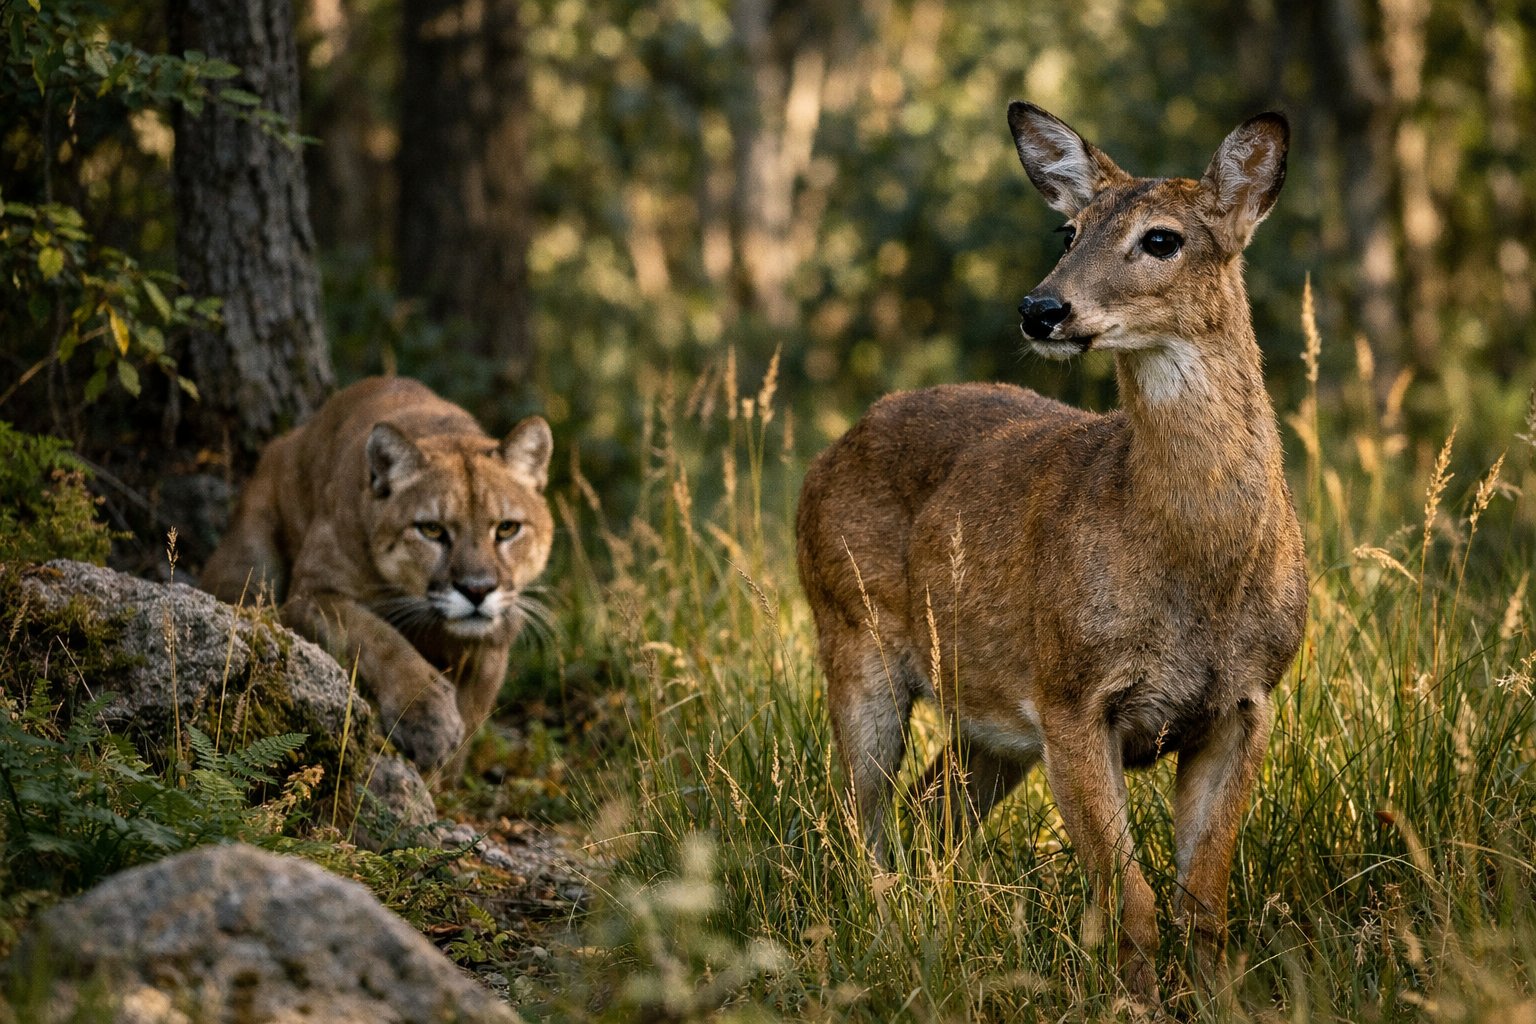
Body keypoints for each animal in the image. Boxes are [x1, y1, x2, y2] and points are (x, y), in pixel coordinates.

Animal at [795, 101, 1308, 1001]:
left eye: (1163, 238)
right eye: (1068, 230)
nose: (1042, 309)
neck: (1196, 564)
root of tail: (825, 457)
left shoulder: (1245, 703)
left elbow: (1204, 900)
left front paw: (1220, 1003)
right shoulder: (1071, 694)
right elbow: (1132, 897)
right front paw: (1133, 1003)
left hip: (987, 716)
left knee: (930, 812)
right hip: (852, 637)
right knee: (864, 822)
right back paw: (886, 942)